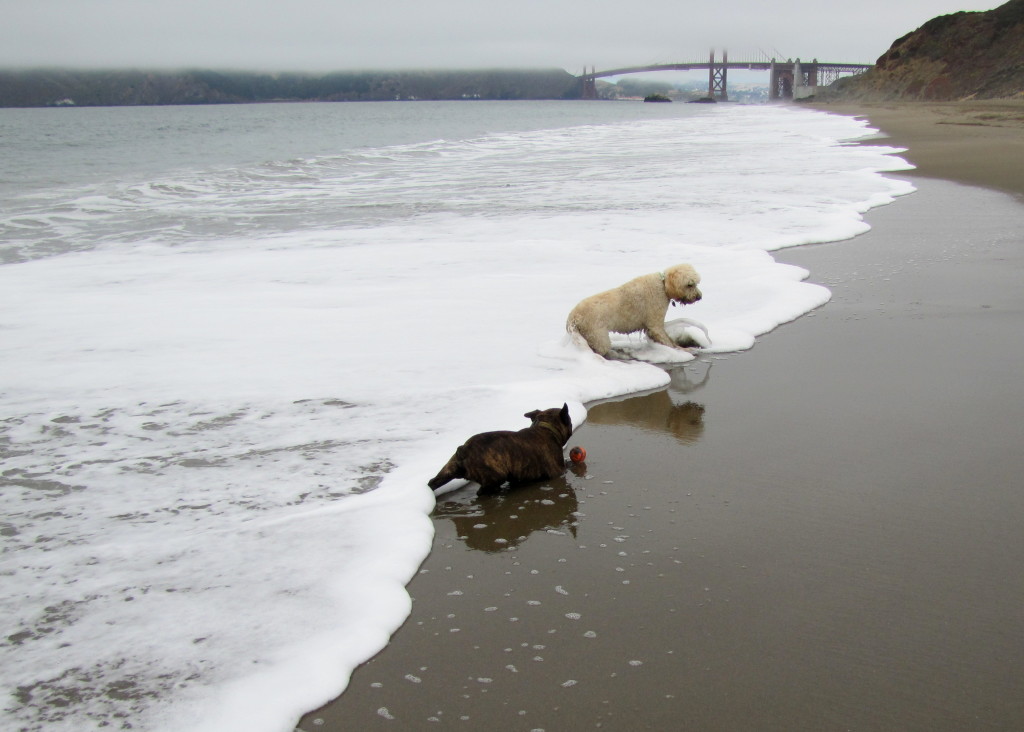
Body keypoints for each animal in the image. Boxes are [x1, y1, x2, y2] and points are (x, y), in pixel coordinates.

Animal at [425, 403, 577, 495]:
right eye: (569, 420)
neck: (546, 428)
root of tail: (464, 449)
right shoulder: (558, 471)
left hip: (448, 469)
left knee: (434, 481)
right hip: (495, 476)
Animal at [569, 264, 704, 360]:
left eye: (696, 283)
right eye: (690, 284)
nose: (699, 297)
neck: (663, 285)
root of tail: (573, 316)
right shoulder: (655, 321)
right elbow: (665, 339)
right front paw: (683, 350)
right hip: (596, 334)